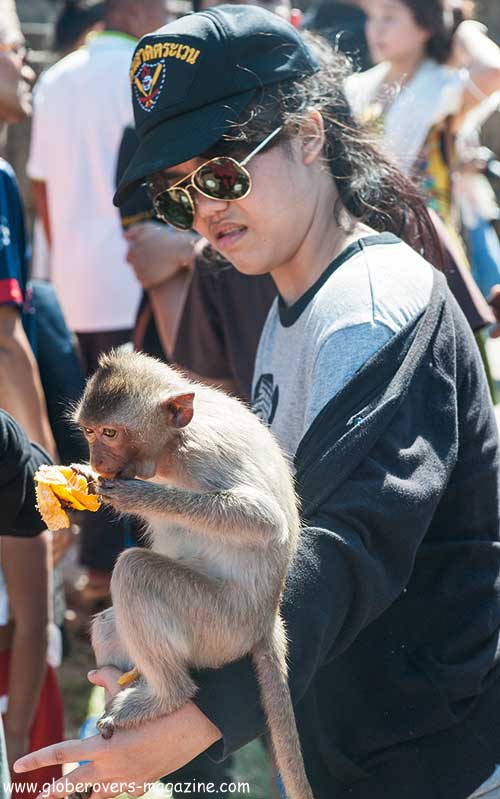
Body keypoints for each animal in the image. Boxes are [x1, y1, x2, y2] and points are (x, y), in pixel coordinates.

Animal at [71, 350, 312, 799]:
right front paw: (85, 477)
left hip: (220, 628)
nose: (96, 460)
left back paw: (166, 697)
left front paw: (137, 495)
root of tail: (266, 621)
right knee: (112, 623)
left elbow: (264, 520)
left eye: (111, 433)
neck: (171, 449)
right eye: (89, 431)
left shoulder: (204, 453)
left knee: (135, 572)